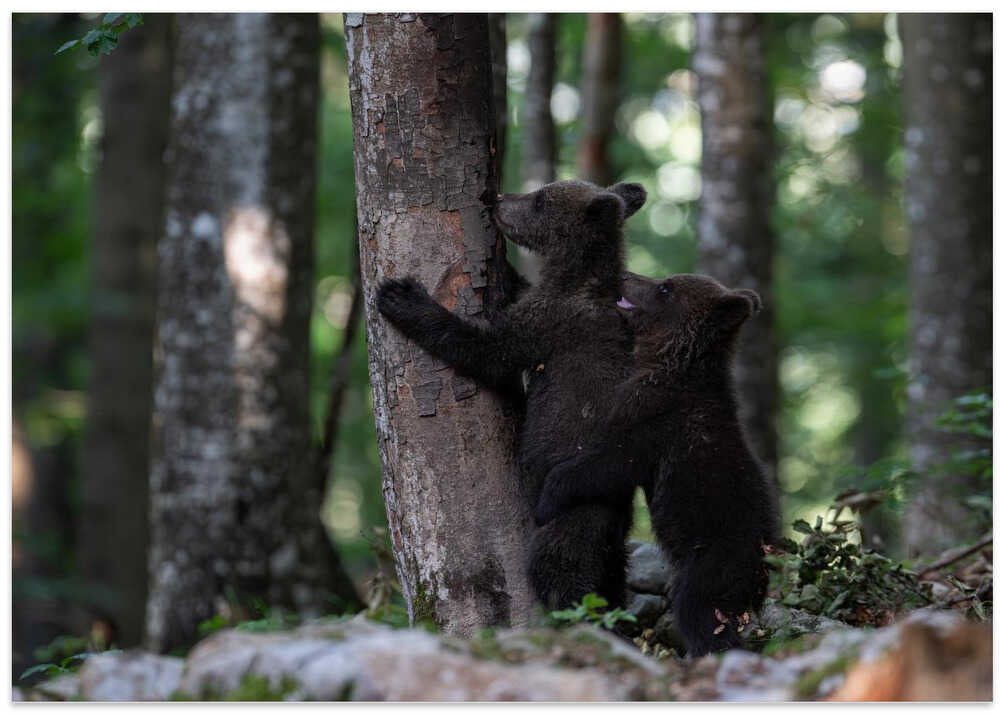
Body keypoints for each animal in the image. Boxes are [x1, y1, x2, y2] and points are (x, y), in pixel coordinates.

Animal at [376, 179, 647, 611]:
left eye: (541, 200)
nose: (499, 198)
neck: (575, 277)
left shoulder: (550, 323)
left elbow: (488, 350)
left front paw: (402, 296)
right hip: (613, 538)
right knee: (611, 580)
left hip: (573, 510)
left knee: (561, 568)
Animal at [534, 272, 780, 656]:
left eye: (666, 287)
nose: (625, 275)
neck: (669, 364)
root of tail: (762, 573)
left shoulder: (654, 422)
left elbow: (606, 464)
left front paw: (548, 497)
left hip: (713, 560)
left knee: (698, 611)